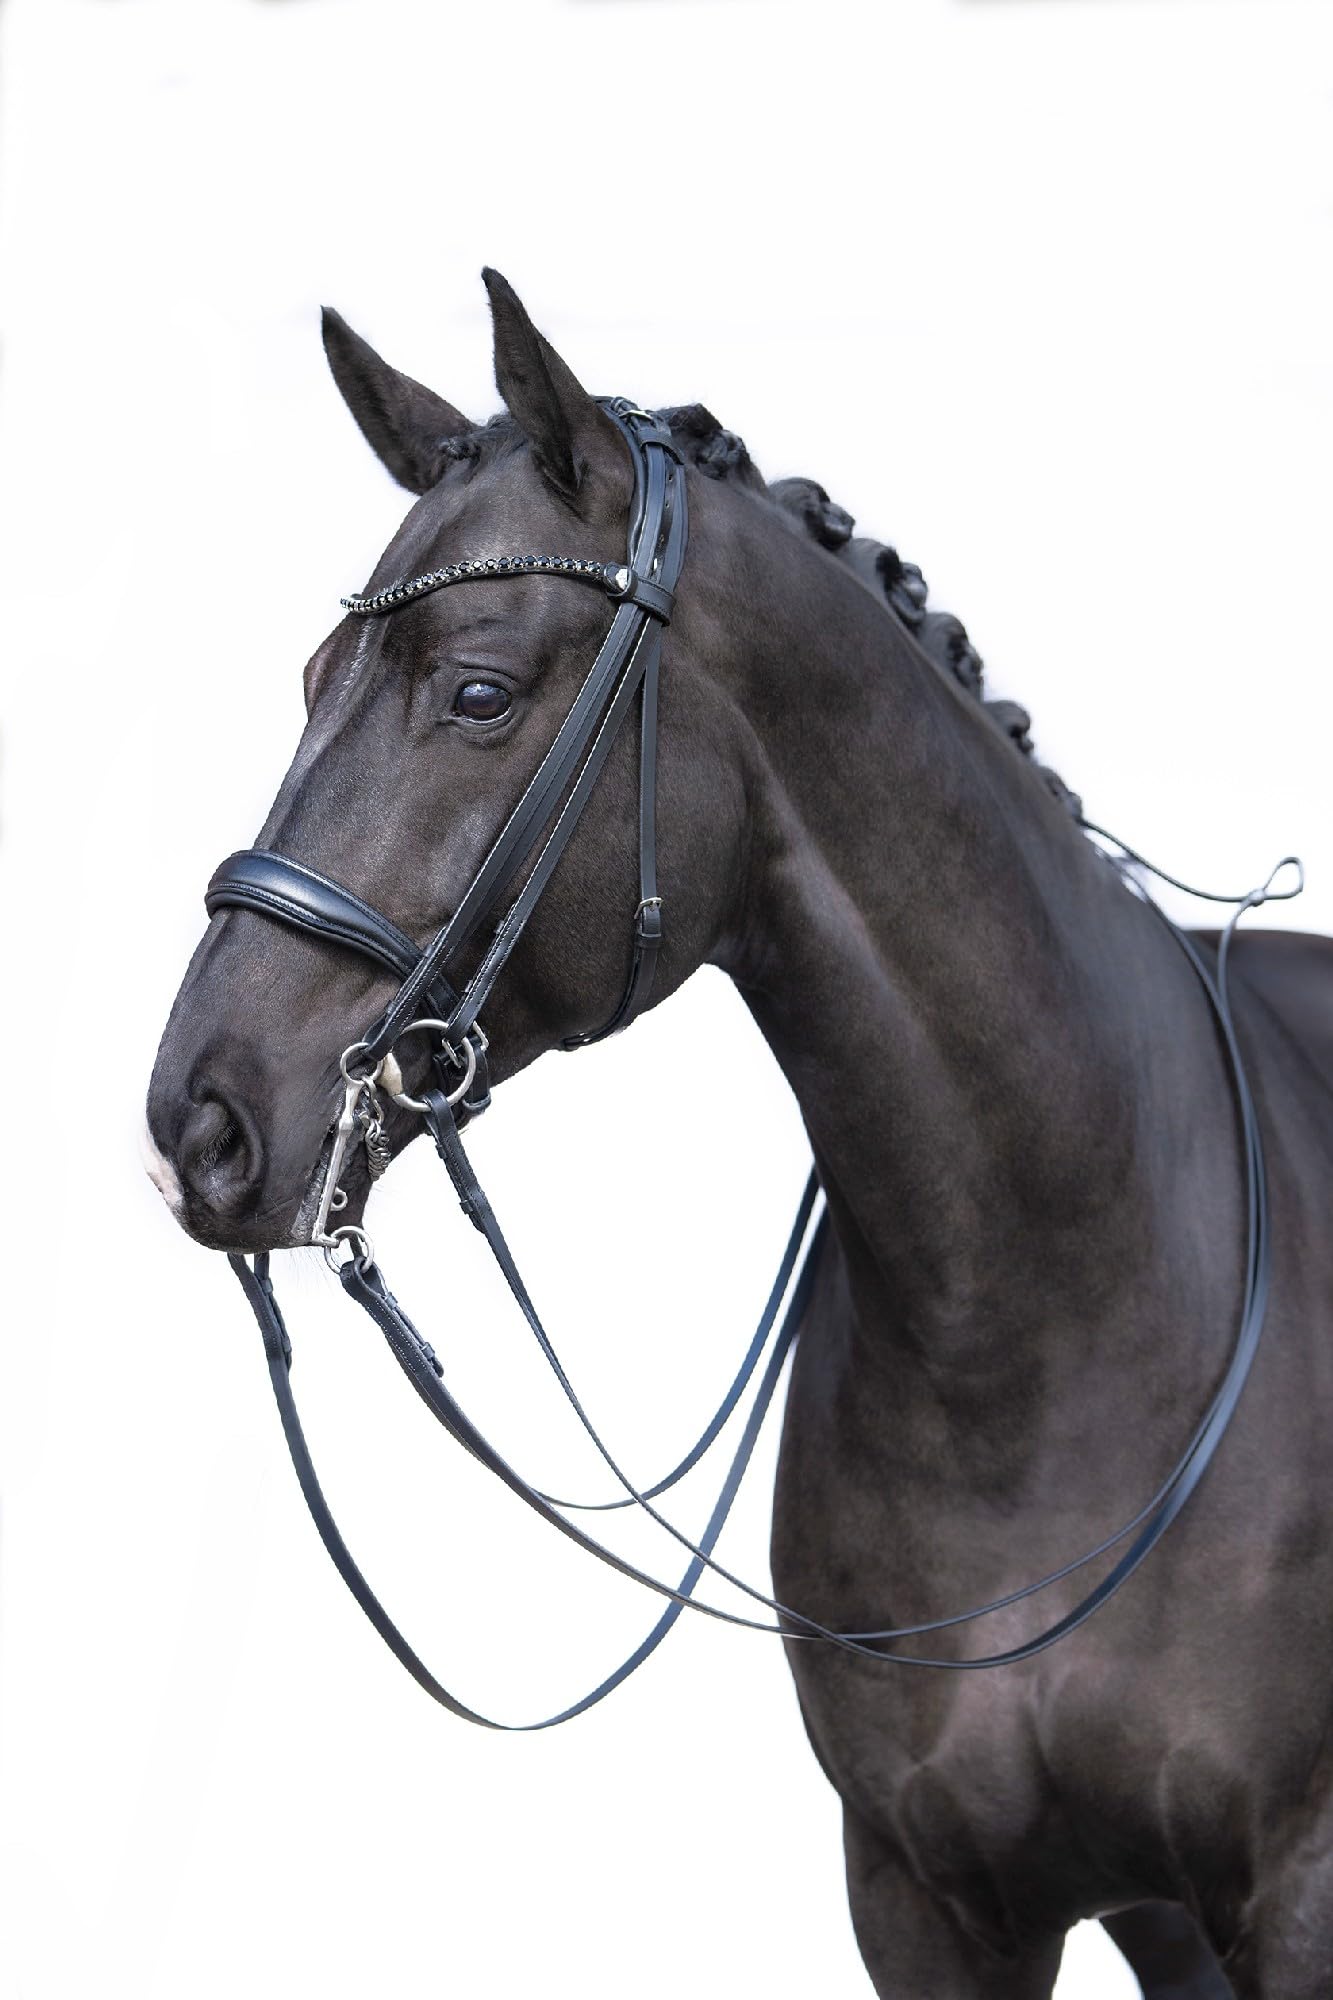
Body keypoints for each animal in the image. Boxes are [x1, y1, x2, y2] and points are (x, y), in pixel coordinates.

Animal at [145, 270, 1333, 1997]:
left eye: (479, 692)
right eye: (310, 681)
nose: (200, 1121)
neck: (1070, 1317)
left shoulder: (1294, 1889)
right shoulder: (924, 1897)